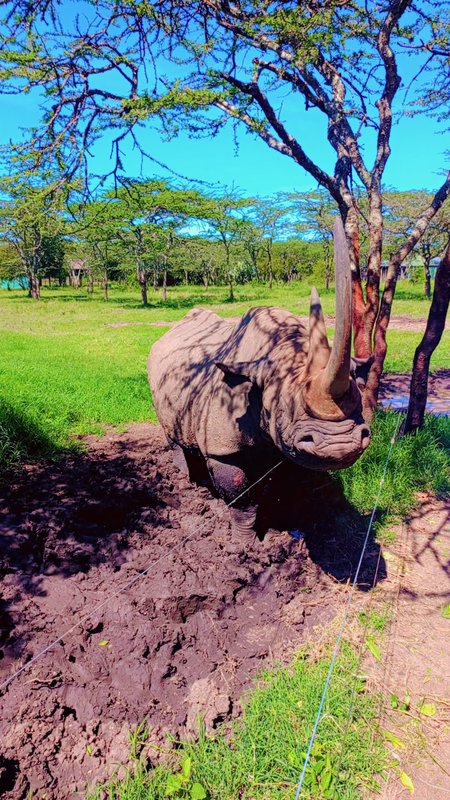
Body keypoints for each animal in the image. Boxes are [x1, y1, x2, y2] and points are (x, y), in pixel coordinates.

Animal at [148, 220, 371, 535]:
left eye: (359, 395)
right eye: (280, 408)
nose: (340, 445)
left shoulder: (289, 444)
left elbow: (286, 481)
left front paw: (286, 523)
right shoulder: (222, 448)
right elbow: (240, 495)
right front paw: (245, 539)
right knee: (173, 435)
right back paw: (189, 483)